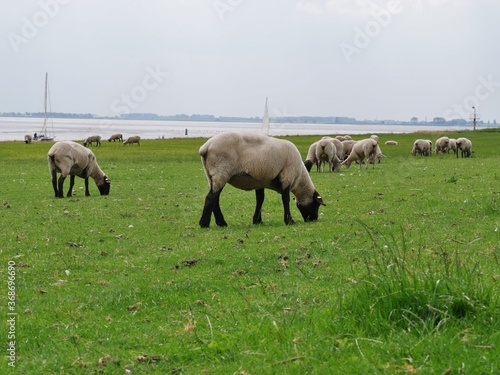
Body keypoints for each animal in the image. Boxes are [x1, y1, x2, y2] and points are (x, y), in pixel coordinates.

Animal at [197, 132, 326, 228]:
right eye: (316, 205)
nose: (313, 220)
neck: (299, 179)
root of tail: (206, 147)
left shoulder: (259, 181)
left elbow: (260, 199)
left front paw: (257, 220)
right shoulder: (287, 177)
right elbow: (285, 199)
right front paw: (289, 221)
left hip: (211, 175)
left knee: (215, 198)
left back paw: (221, 223)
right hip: (221, 171)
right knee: (211, 198)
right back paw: (205, 224)